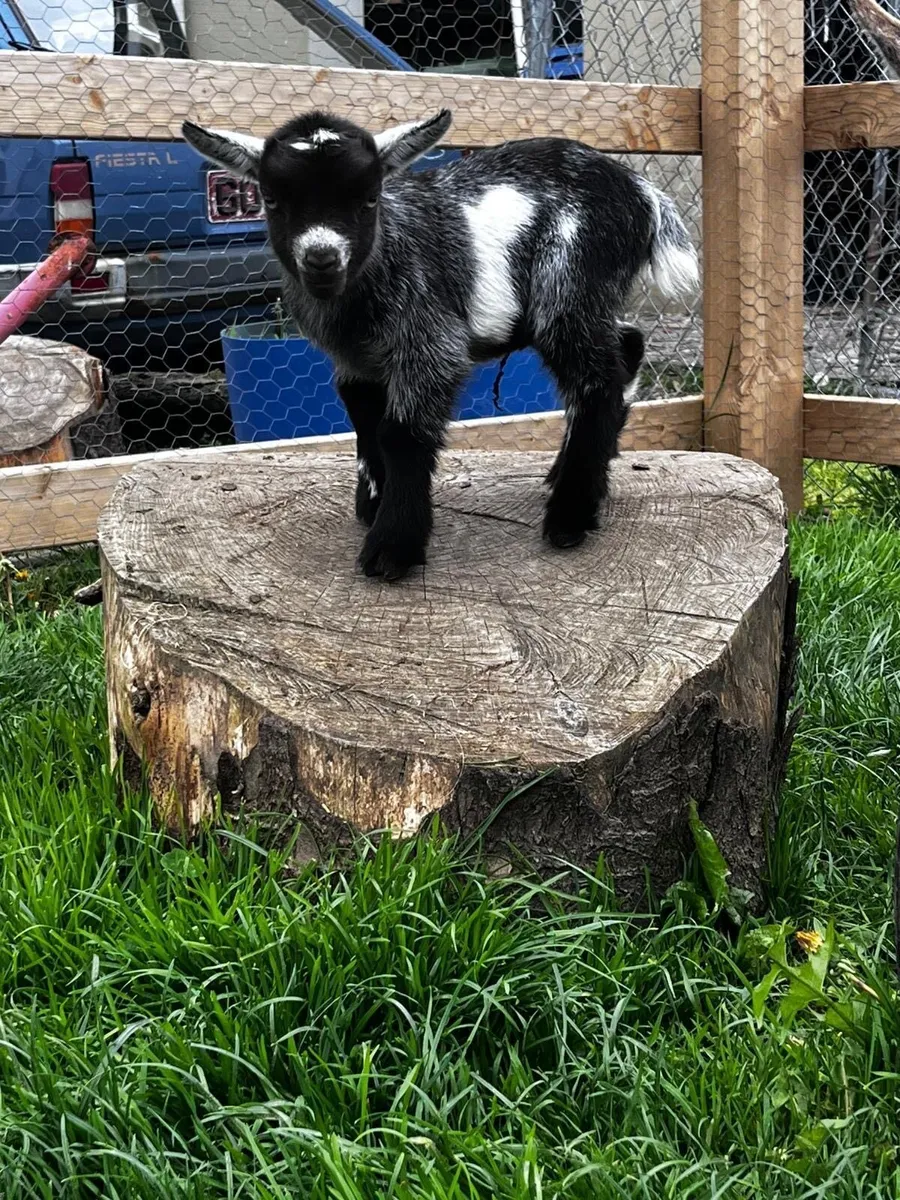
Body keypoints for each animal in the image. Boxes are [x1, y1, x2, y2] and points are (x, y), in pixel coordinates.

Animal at [182, 110, 698, 581]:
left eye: (370, 198)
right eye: (271, 199)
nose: (322, 258)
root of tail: (643, 191)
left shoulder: (430, 341)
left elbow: (400, 433)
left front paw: (393, 546)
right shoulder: (358, 362)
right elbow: (363, 417)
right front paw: (373, 502)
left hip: (571, 282)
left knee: (598, 381)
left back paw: (570, 515)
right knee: (626, 347)